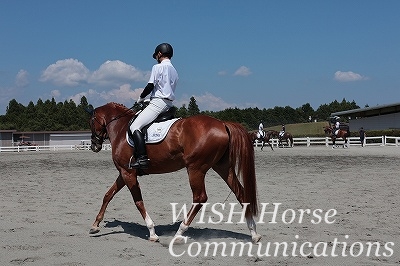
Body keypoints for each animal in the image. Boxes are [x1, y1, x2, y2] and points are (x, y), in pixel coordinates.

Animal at [87, 102, 260, 243]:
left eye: (91, 121)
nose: (94, 145)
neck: (121, 128)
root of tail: (223, 123)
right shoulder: (124, 173)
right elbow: (108, 195)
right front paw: (95, 225)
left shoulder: (128, 173)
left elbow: (138, 202)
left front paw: (152, 233)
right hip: (223, 167)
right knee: (240, 193)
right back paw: (254, 233)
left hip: (195, 169)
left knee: (200, 198)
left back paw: (179, 233)